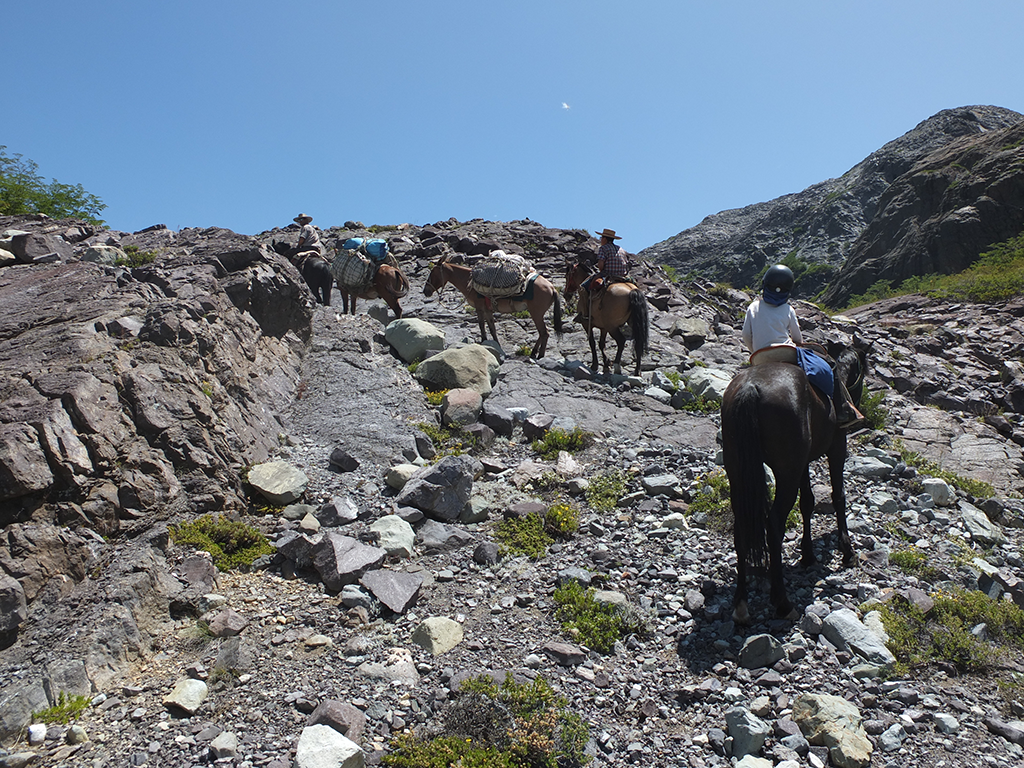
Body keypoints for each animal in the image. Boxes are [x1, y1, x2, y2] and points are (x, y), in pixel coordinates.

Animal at [421, 253, 565, 360]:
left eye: (432, 273)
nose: (425, 291)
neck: (469, 281)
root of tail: (552, 288)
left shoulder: (479, 308)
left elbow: (482, 326)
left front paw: (483, 341)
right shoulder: (487, 309)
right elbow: (492, 328)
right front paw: (497, 346)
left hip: (536, 313)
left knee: (544, 333)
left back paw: (539, 355)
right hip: (537, 313)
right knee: (542, 333)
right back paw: (534, 352)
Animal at [720, 342, 864, 626]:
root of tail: (750, 388)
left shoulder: (803, 462)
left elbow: (807, 501)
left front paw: (807, 554)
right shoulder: (837, 446)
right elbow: (838, 495)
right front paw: (847, 550)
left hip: (739, 470)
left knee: (741, 526)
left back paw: (741, 604)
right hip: (786, 471)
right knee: (774, 523)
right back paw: (783, 603)